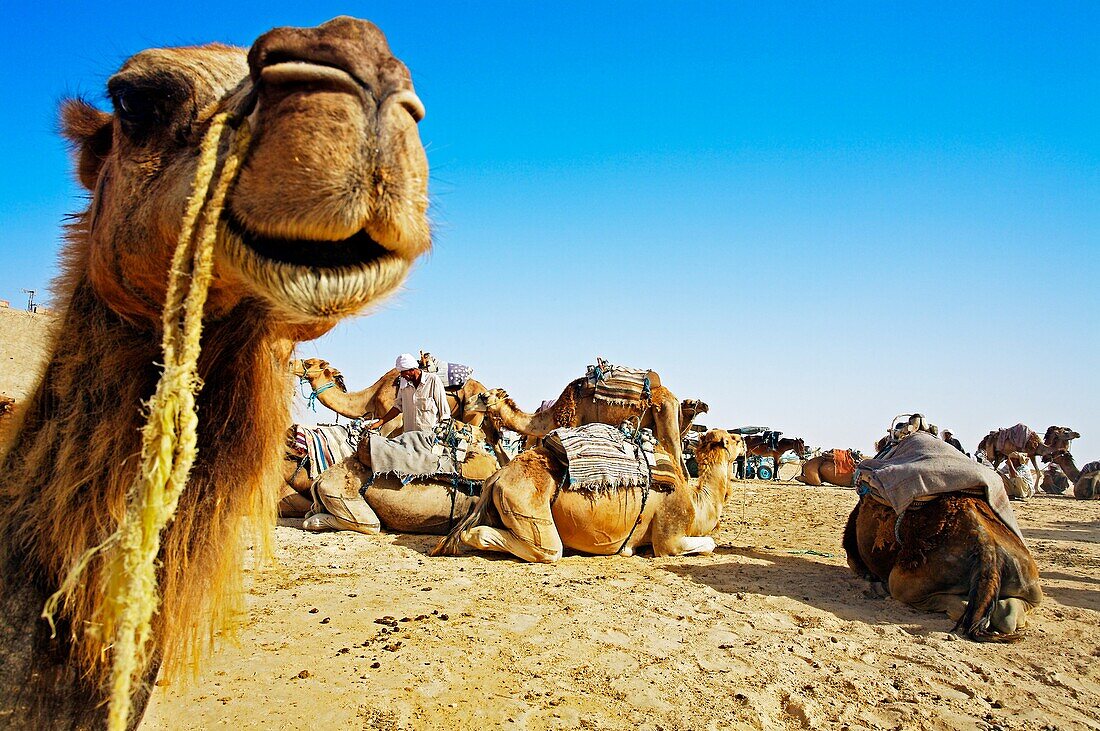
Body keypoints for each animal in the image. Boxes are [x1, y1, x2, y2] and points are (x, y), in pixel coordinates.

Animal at [429, 424, 739, 560]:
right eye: (734, 439)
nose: (744, 441)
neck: (697, 504)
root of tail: (497, 476)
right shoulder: (669, 536)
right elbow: (707, 544)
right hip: (529, 510)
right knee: (547, 549)